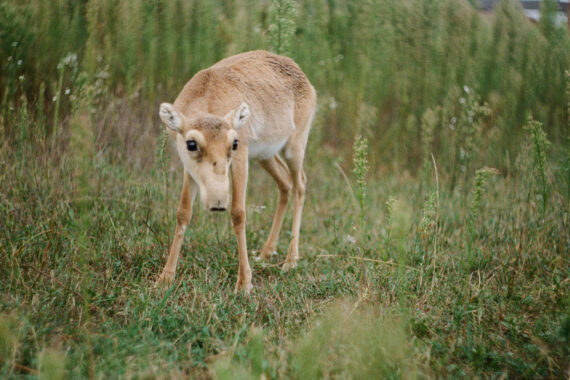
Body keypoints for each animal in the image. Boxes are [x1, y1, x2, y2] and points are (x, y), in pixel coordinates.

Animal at [154, 50, 316, 292]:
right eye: (191, 144)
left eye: (234, 143)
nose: (218, 202)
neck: (207, 96)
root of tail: (299, 71)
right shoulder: (188, 169)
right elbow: (183, 213)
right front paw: (165, 278)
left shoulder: (241, 159)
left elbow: (238, 213)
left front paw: (244, 283)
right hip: (266, 156)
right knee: (285, 184)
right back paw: (266, 252)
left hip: (294, 147)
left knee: (300, 185)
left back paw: (290, 261)